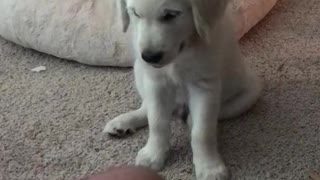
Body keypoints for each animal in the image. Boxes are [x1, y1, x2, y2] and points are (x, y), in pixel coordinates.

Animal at [104, 0, 262, 178]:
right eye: (136, 14)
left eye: (170, 15)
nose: (150, 57)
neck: (183, 51)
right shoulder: (155, 82)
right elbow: (156, 122)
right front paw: (153, 154)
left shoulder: (204, 86)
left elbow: (202, 132)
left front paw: (209, 167)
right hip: (139, 69)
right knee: (146, 108)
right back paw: (122, 123)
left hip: (250, 93)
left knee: (210, 116)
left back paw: (191, 121)